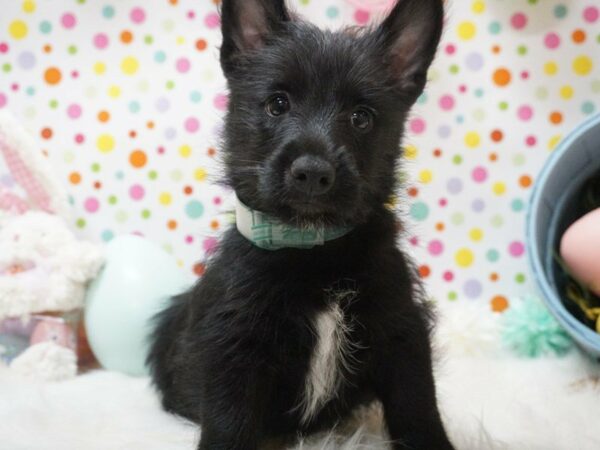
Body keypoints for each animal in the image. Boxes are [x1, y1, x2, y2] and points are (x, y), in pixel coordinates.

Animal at [148, 0, 452, 448]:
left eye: (361, 117)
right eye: (278, 104)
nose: (312, 172)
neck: (313, 247)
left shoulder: (402, 331)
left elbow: (418, 407)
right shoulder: (235, 343)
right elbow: (228, 421)